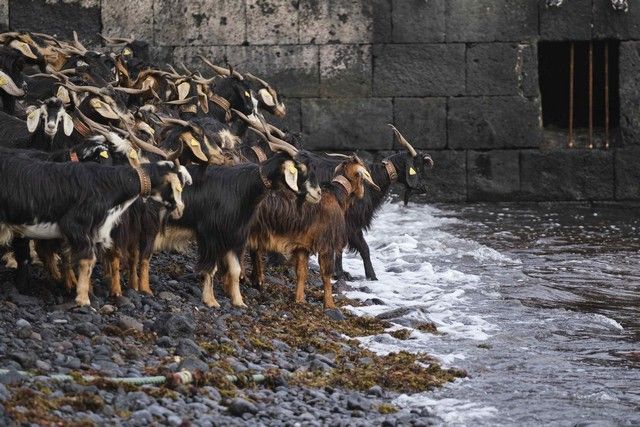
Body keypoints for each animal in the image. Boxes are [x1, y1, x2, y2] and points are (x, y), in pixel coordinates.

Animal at [246, 155, 378, 310]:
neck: (336, 196)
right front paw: (329, 304)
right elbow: (326, 274)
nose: (363, 194)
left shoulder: (302, 246)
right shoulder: (326, 243)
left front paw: (299, 300)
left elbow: (301, 272)